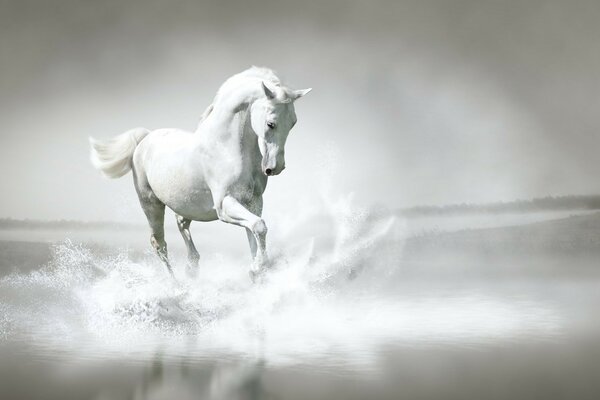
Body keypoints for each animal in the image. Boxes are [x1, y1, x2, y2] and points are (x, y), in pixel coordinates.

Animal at [92, 67, 314, 280]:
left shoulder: (253, 202)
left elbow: (254, 231)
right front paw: (257, 269)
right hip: (151, 204)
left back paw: (192, 268)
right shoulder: (224, 205)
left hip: (186, 204)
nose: (275, 167)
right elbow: (259, 226)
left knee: (181, 223)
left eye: (293, 122)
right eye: (271, 123)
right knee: (159, 244)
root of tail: (145, 139)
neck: (226, 148)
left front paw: (257, 270)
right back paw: (176, 285)